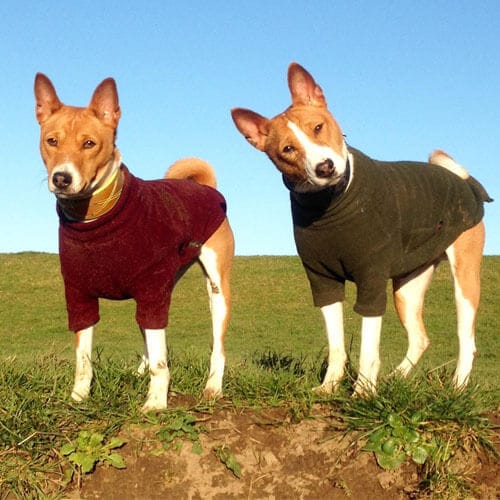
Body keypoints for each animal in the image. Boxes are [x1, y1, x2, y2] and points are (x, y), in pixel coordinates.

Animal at [35, 73, 234, 410]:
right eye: (52, 141)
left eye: (89, 143)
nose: (62, 178)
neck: (95, 218)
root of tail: (206, 187)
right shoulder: (79, 295)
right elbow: (83, 360)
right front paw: (78, 398)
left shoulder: (152, 291)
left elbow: (161, 363)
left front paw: (155, 403)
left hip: (216, 288)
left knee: (216, 348)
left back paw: (213, 388)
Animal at [232, 62, 490, 396]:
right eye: (287, 149)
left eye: (318, 127)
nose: (325, 167)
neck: (330, 204)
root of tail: (461, 179)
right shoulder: (323, 280)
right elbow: (336, 346)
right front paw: (329, 388)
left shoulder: (371, 277)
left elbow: (368, 349)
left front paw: (363, 393)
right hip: (407, 289)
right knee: (420, 338)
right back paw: (396, 378)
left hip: (464, 280)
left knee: (466, 339)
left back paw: (457, 387)